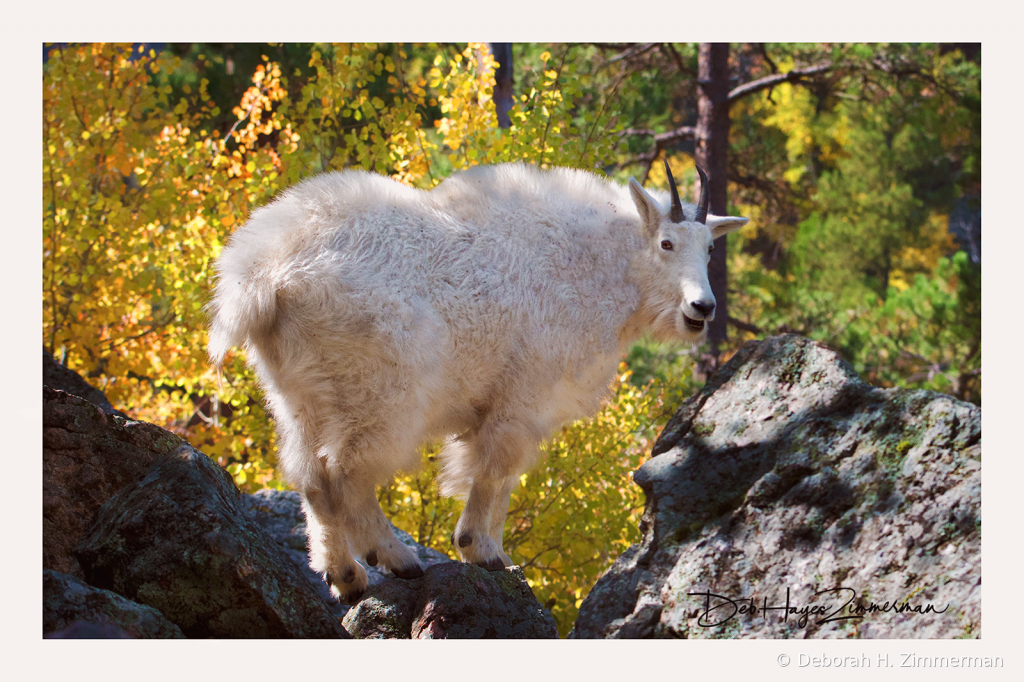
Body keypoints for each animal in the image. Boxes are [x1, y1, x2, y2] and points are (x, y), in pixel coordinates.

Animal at [205, 160, 745, 602]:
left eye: (710, 247)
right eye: (666, 243)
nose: (702, 308)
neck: (596, 267)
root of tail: (260, 274)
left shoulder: (512, 405)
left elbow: (503, 480)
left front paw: (495, 553)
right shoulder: (521, 396)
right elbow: (493, 472)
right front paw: (480, 550)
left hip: (297, 395)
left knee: (312, 479)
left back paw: (346, 576)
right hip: (381, 393)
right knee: (346, 474)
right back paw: (395, 558)